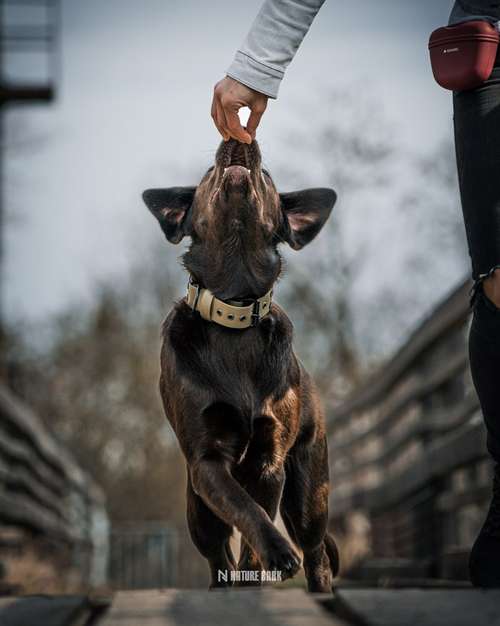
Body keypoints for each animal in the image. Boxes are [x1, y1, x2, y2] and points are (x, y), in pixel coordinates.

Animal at [145, 138, 340, 588]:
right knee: (218, 556)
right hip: (197, 510)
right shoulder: (207, 462)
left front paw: (267, 564)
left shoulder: (270, 462)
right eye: (206, 173)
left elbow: (257, 522)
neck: (234, 309)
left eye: (266, 175)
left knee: (317, 554)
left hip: (309, 495)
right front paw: (275, 554)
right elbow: (245, 509)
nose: (238, 141)